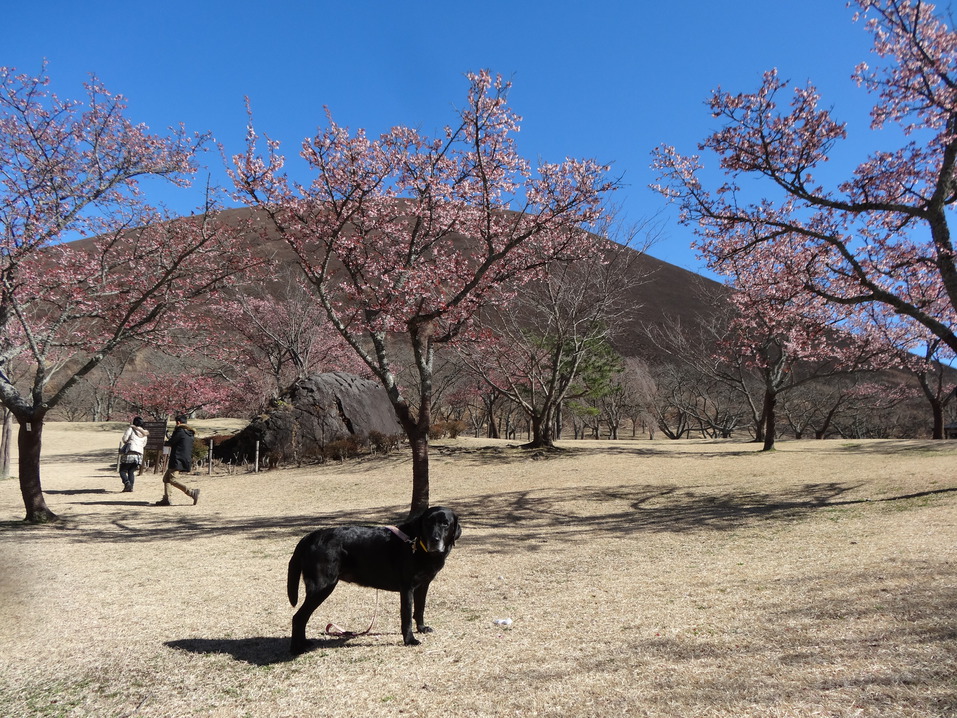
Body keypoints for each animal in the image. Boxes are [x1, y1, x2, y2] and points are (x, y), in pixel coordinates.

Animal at [286, 504, 462, 656]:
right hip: (322, 587)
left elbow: (420, 609)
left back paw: (304, 643)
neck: (417, 545)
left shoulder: (422, 585)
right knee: (298, 617)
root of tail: (309, 536)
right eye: (427, 523)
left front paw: (422, 628)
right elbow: (406, 616)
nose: (434, 540)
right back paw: (296, 649)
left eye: (445, 524)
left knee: (302, 617)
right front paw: (410, 640)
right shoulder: (407, 588)